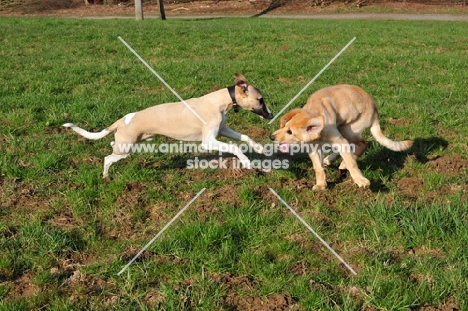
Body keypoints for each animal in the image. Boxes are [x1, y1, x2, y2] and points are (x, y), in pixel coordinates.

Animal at [64, 73, 272, 178]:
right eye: (260, 100)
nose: (270, 114)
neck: (218, 102)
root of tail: (123, 119)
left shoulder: (222, 129)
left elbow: (244, 137)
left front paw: (259, 149)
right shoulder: (208, 141)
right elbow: (235, 147)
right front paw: (247, 163)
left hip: (127, 144)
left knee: (111, 146)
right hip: (125, 149)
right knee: (108, 158)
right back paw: (106, 176)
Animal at [268, 84, 412, 190]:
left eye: (290, 132)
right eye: (284, 126)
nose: (271, 137)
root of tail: (375, 111)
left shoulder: (338, 140)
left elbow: (352, 163)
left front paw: (360, 180)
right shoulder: (313, 149)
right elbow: (318, 168)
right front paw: (321, 185)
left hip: (348, 129)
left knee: (361, 145)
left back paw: (343, 163)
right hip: (344, 132)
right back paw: (331, 159)